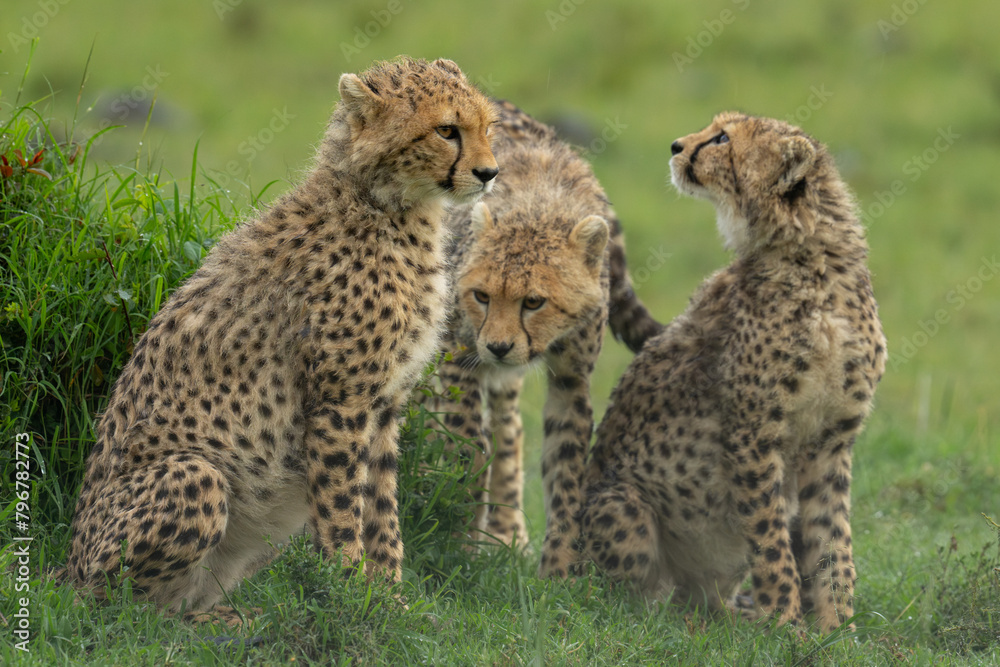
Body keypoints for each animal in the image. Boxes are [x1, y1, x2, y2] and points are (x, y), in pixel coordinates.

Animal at [63, 56, 499, 616]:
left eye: (487, 127)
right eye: (447, 130)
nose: (490, 173)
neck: (388, 205)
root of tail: (67, 568)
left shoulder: (383, 406)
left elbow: (382, 509)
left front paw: (389, 600)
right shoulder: (340, 403)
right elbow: (343, 509)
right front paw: (348, 596)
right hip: (196, 476)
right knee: (123, 611)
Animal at [430, 101, 662, 574]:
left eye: (534, 302)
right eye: (481, 296)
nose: (498, 346)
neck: (537, 206)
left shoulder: (571, 379)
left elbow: (566, 465)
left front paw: (558, 568)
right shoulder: (458, 355)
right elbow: (469, 446)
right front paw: (460, 536)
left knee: (510, 428)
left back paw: (507, 533)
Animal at [578, 111, 886, 633]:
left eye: (722, 138)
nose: (676, 145)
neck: (814, 261)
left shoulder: (831, 441)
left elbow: (833, 539)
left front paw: (838, 628)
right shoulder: (752, 434)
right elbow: (770, 539)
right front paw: (785, 624)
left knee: (694, 598)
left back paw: (728, 618)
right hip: (622, 505)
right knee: (623, 603)